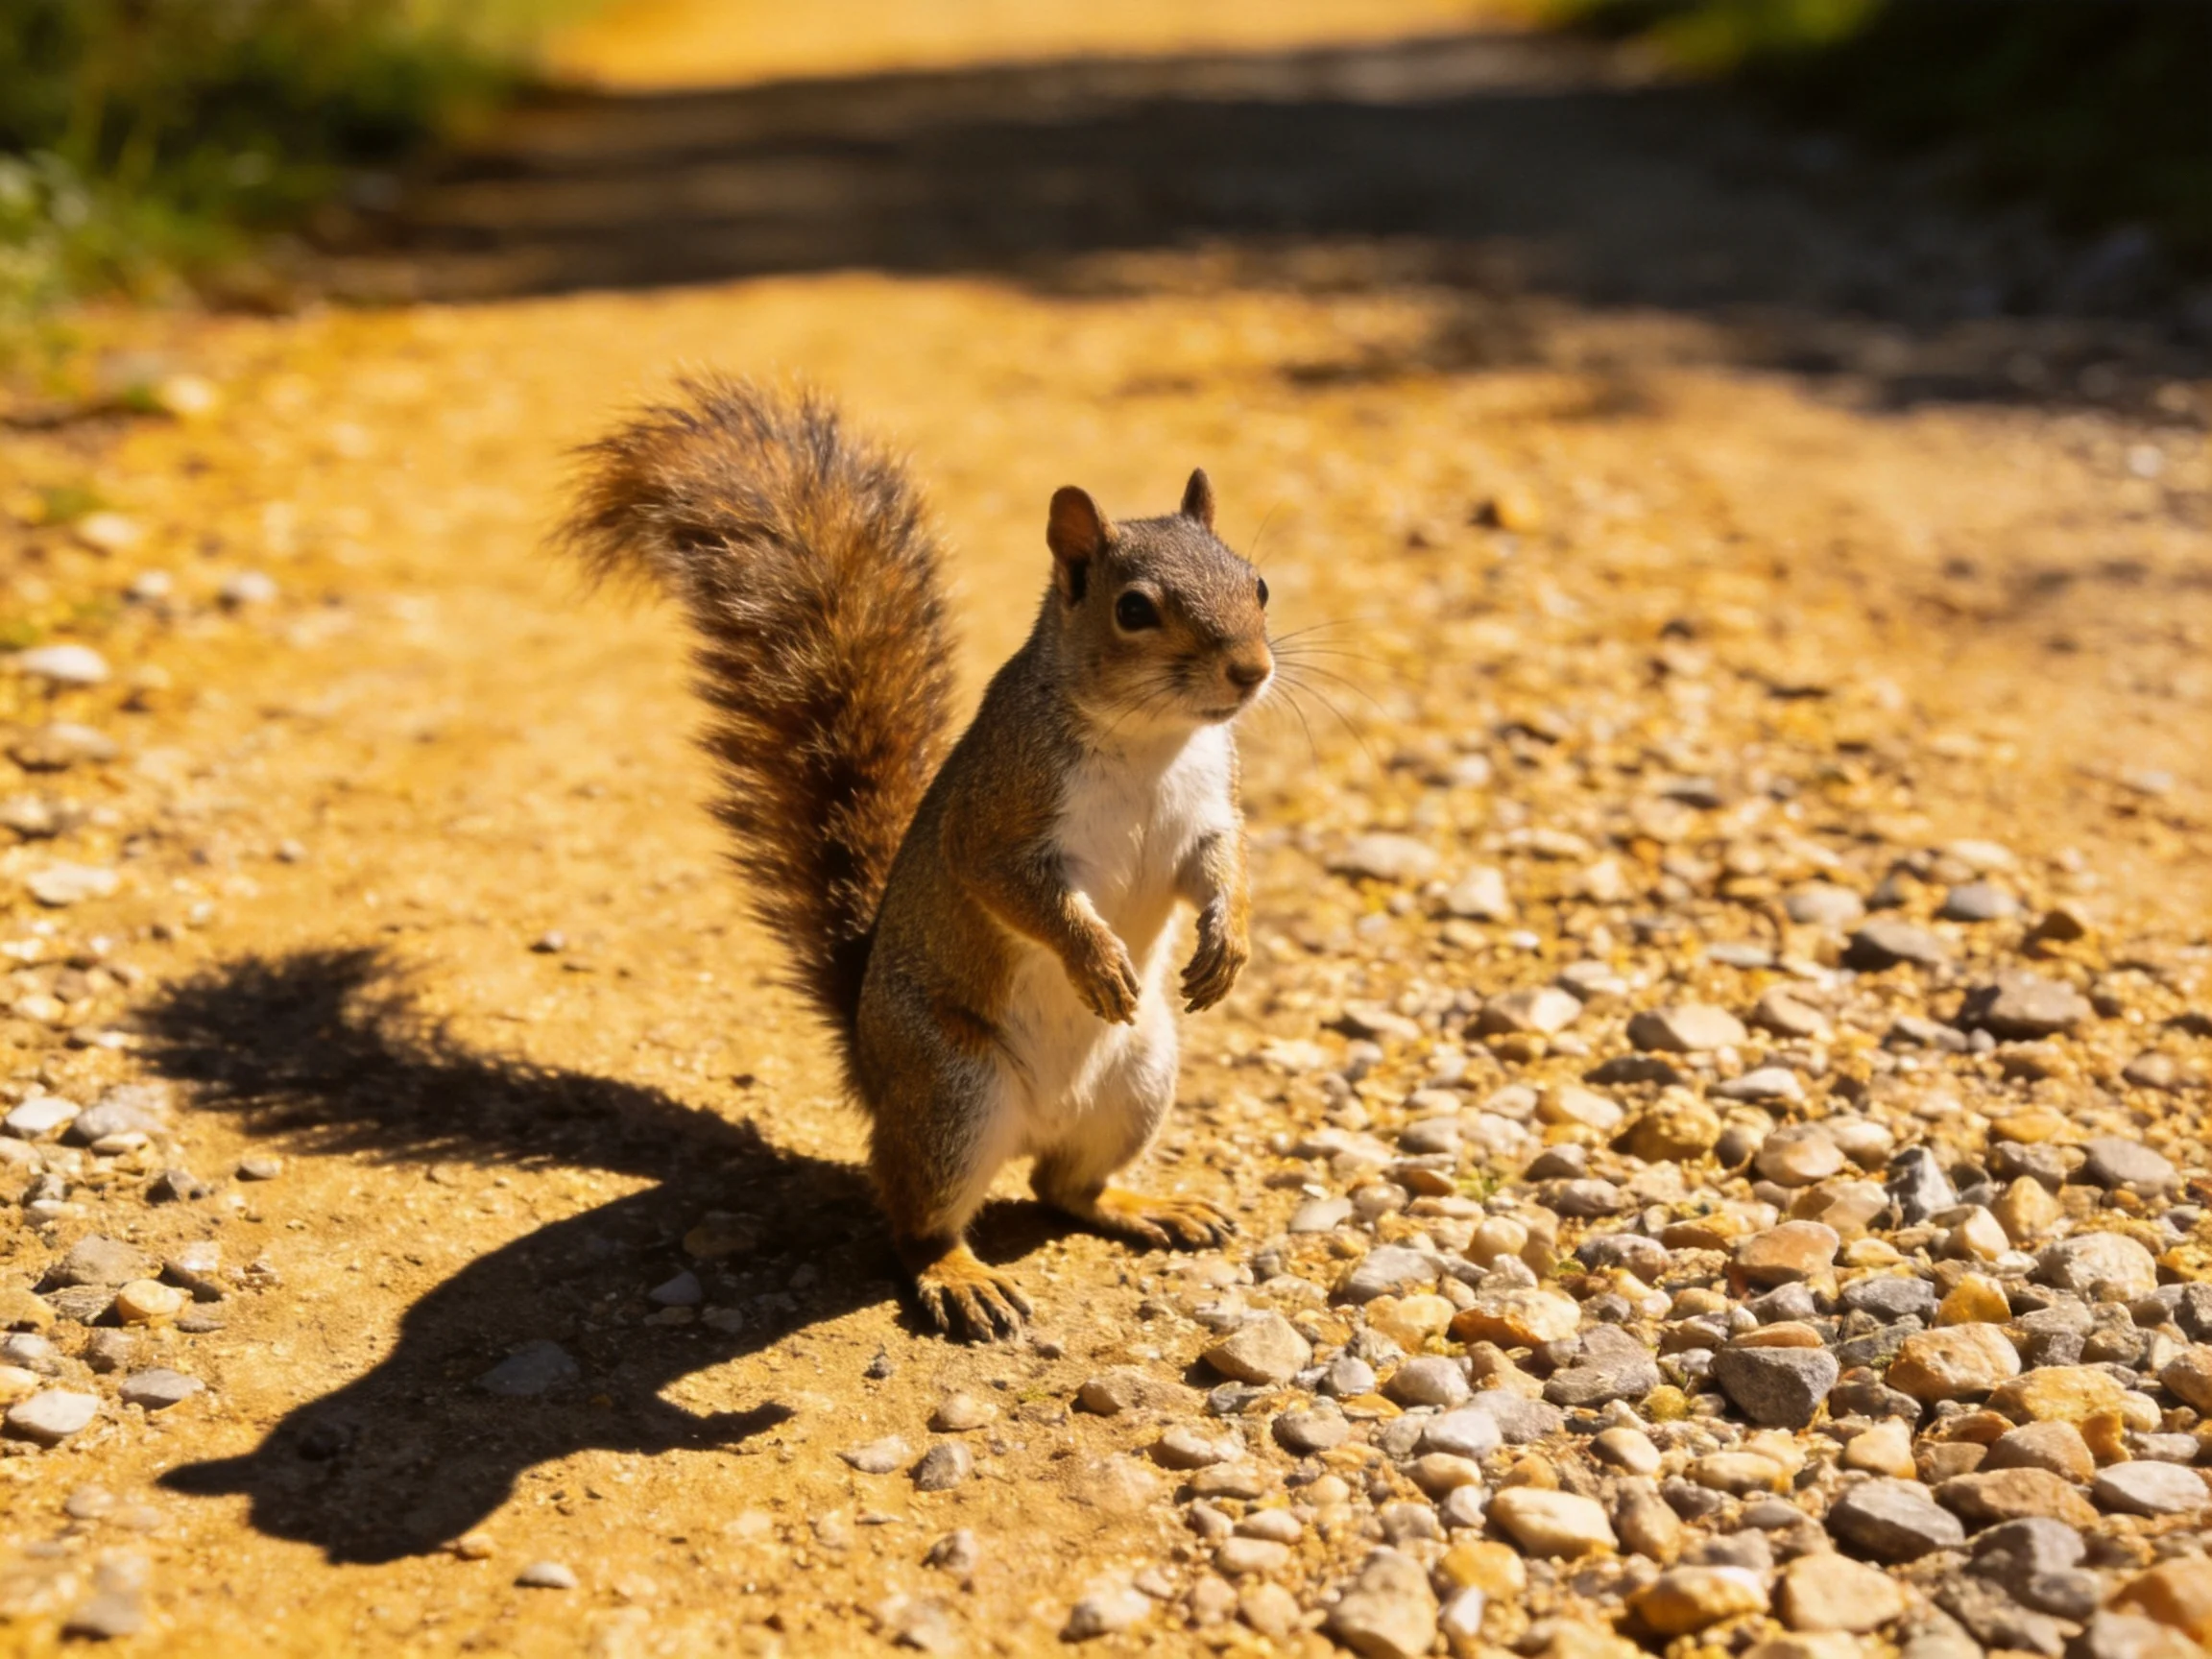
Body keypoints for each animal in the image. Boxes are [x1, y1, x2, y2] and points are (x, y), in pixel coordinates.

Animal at [560, 377, 1274, 1339]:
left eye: (1259, 583)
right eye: (1134, 609)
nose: (1253, 670)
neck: (1151, 742)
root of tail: (872, 1068)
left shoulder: (1206, 811)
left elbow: (1222, 866)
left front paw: (1227, 944)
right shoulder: (995, 817)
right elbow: (1015, 889)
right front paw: (1094, 960)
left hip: (1140, 1078)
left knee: (1064, 1188)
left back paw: (1145, 1206)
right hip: (952, 1094)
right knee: (915, 1218)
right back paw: (961, 1276)